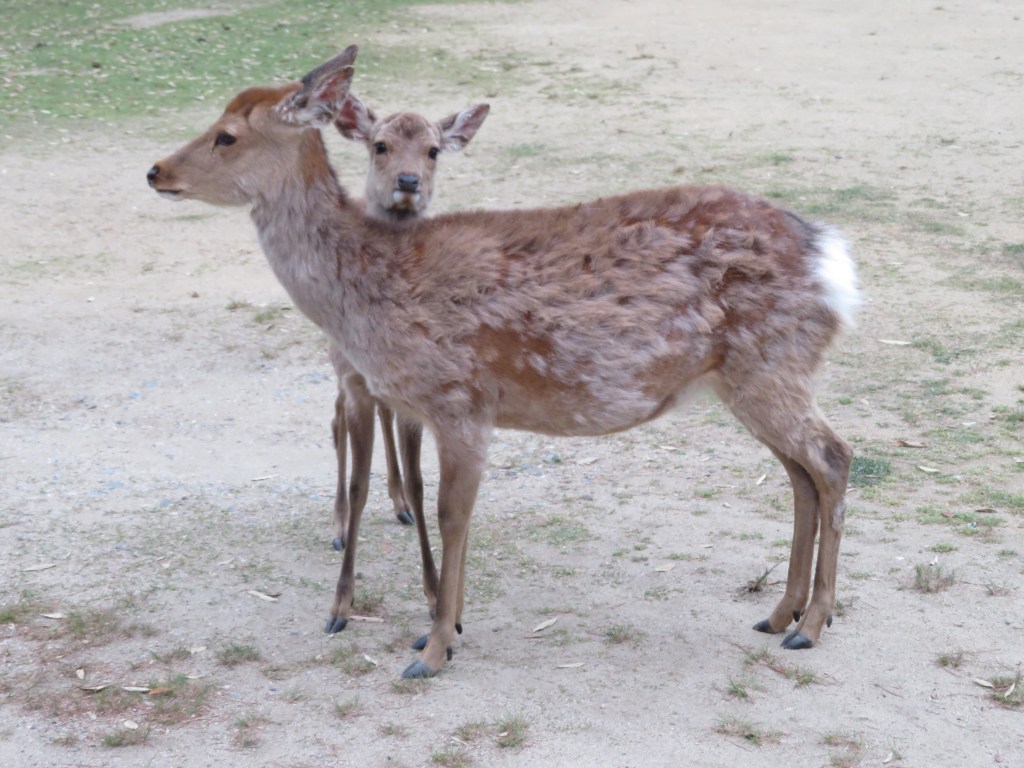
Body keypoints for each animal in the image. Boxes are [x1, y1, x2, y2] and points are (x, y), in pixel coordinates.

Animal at [327, 94, 489, 557]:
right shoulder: (348, 370)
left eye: (433, 150)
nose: (408, 180)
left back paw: (399, 504)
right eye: (380, 144)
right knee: (335, 420)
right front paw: (342, 530)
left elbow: (419, 476)